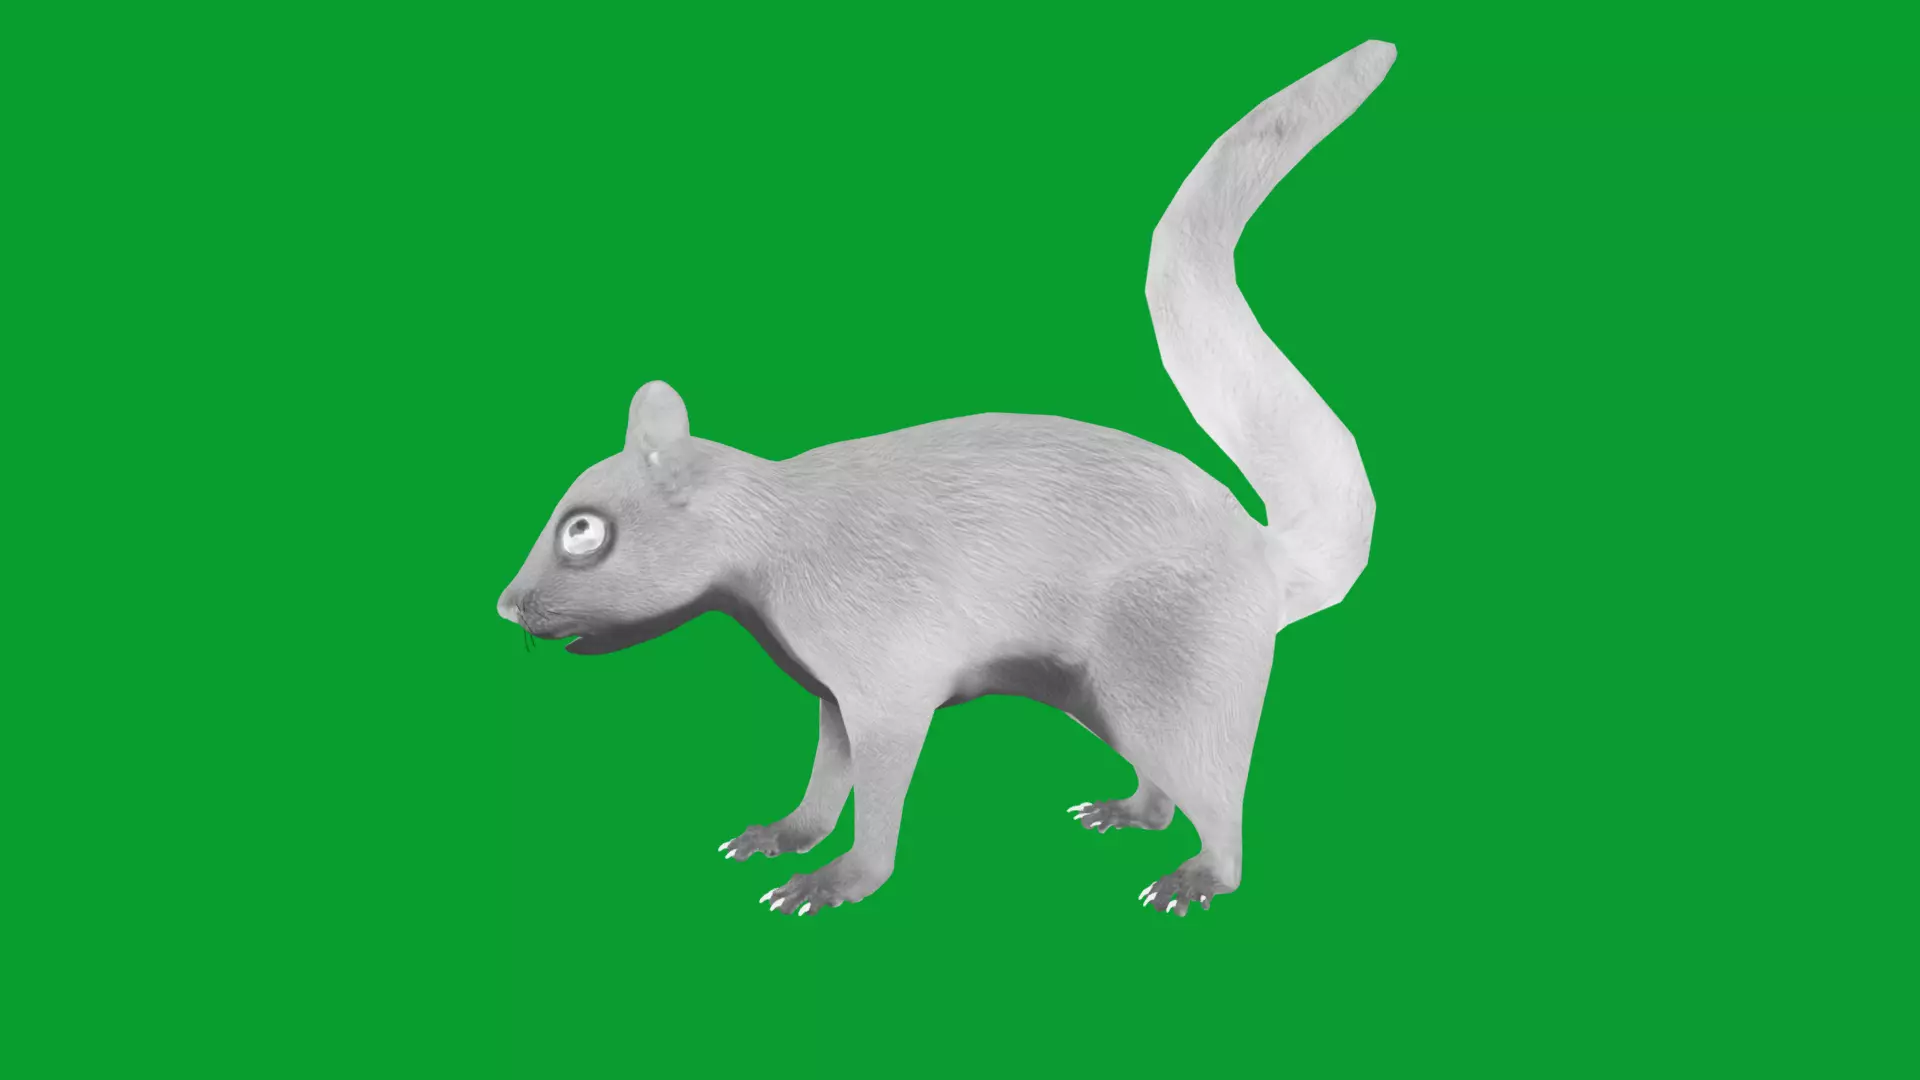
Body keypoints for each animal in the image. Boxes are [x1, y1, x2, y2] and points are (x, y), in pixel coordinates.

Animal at [498, 41, 1393, 917]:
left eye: (584, 531)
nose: (507, 606)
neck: (769, 545)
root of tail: (1264, 553)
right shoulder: (831, 689)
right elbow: (827, 774)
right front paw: (788, 833)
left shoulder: (885, 672)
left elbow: (879, 789)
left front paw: (840, 879)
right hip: (1108, 692)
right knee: (1165, 781)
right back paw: (1132, 811)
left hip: (1174, 669)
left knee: (1213, 790)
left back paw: (1202, 872)